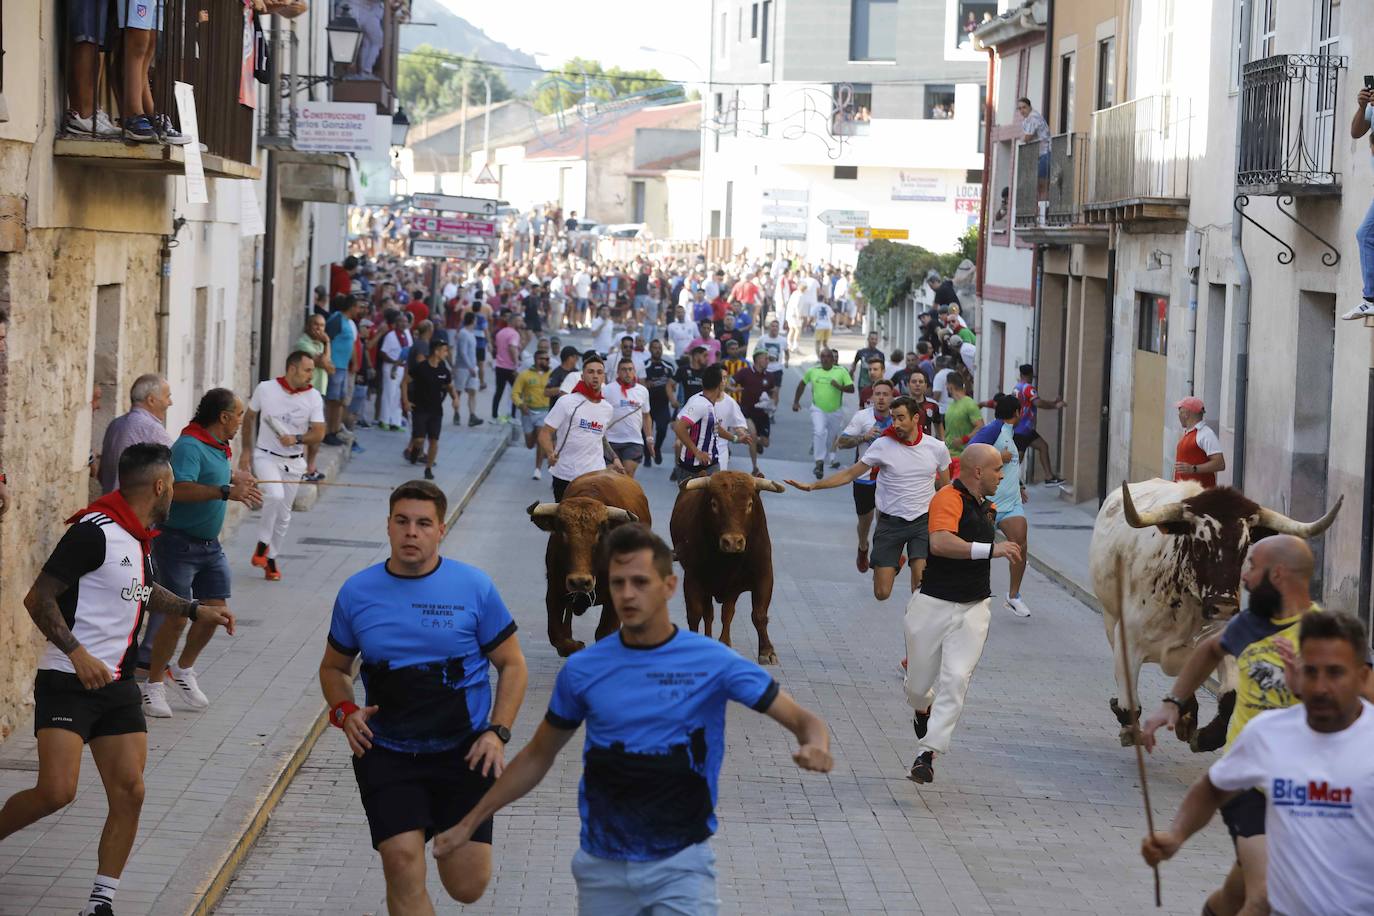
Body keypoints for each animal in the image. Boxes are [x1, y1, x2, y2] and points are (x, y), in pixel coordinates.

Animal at [527, 469, 651, 656]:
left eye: (599, 534)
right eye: (561, 532)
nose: (579, 581)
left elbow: (604, 633)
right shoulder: (554, 589)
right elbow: (558, 637)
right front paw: (573, 645)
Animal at [667, 472, 785, 667]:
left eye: (750, 504)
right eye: (714, 504)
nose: (732, 542)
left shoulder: (763, 576)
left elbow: (757, 615)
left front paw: (767, 652)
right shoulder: (693, 579)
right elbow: (695, 614)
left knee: (724, 613)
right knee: (708, 614)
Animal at [1088, 480, 1335, 752]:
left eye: (1245, 547)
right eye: (1199, 544)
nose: (1224, 606)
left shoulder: (1220, 640)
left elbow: (1230, 696)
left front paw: (1205, 737)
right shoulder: (1128, 640)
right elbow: (1128, 700)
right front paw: (1128, 726)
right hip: (1110, 618)